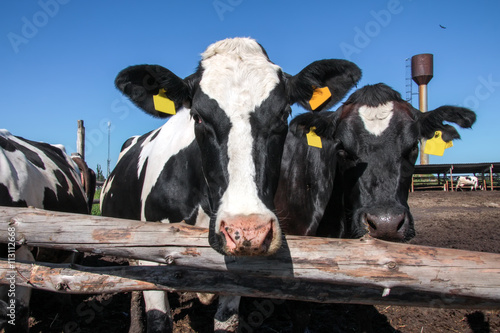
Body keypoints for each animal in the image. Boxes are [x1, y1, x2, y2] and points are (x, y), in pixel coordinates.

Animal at [100, 37, 360, 332]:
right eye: (198, 116)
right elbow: (159, 319)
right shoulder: (150, 252)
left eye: (284, 114)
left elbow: (227, 321)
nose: (247, 231)